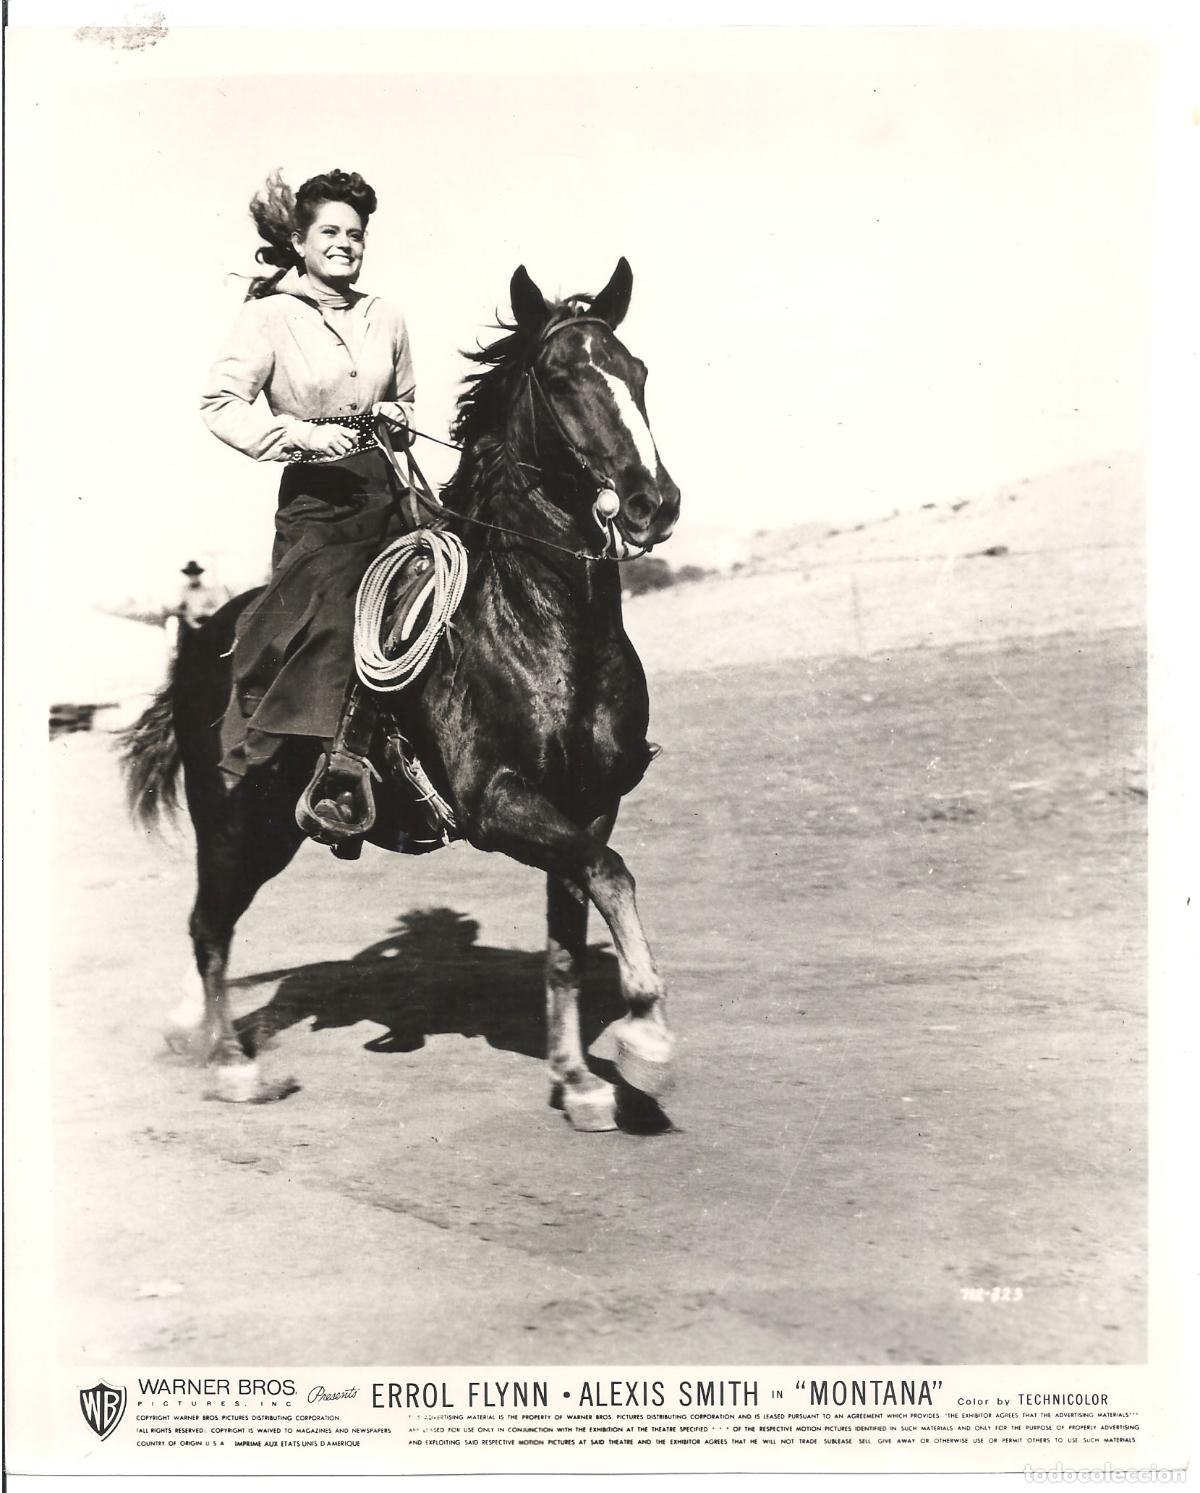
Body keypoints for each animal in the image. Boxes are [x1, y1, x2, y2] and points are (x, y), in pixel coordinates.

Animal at [120, 257, 681, 1132]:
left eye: (638, 371)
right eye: (561, 377)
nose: (655, 502)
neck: (535, 621)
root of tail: (200, 641)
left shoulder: (588, 803)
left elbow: (570, 925)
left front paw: (579, 1079)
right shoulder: (499, 803)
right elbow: (613, 874)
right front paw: (647, 1038)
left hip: (270, 831)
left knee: (215, 920)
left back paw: (199, 1034)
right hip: (232, 819)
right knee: (208, 923)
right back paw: (232, 1064)